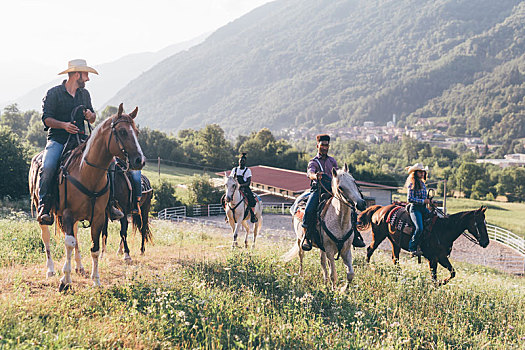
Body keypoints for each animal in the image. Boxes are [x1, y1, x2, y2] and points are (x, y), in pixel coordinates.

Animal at [29, 104, 144, 292]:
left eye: (137, 132)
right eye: (122, 131)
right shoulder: (68, 214)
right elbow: (69, 243)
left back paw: (80, 267)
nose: (139, 160)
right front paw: (65, 281)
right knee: (46, 237)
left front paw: (96, 280)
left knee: (75, 236)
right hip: (43, 210)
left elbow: (94, 248)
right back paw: (51, 270)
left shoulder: (98, 217)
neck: (87, 173)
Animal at [358, 205, 490, 284]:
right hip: (378, 236)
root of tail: (380, 209)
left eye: (485, 222)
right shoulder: (433, 259)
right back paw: (369, 267)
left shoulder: (442, 257)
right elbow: (434, 277)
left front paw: (441, 283)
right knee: (370, 250)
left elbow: (452, 273)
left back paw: (400, 276)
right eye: (479, 223)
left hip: (394, 242)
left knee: (395, 258)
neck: (443, 229)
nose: (486, 242)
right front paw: (436, 285)